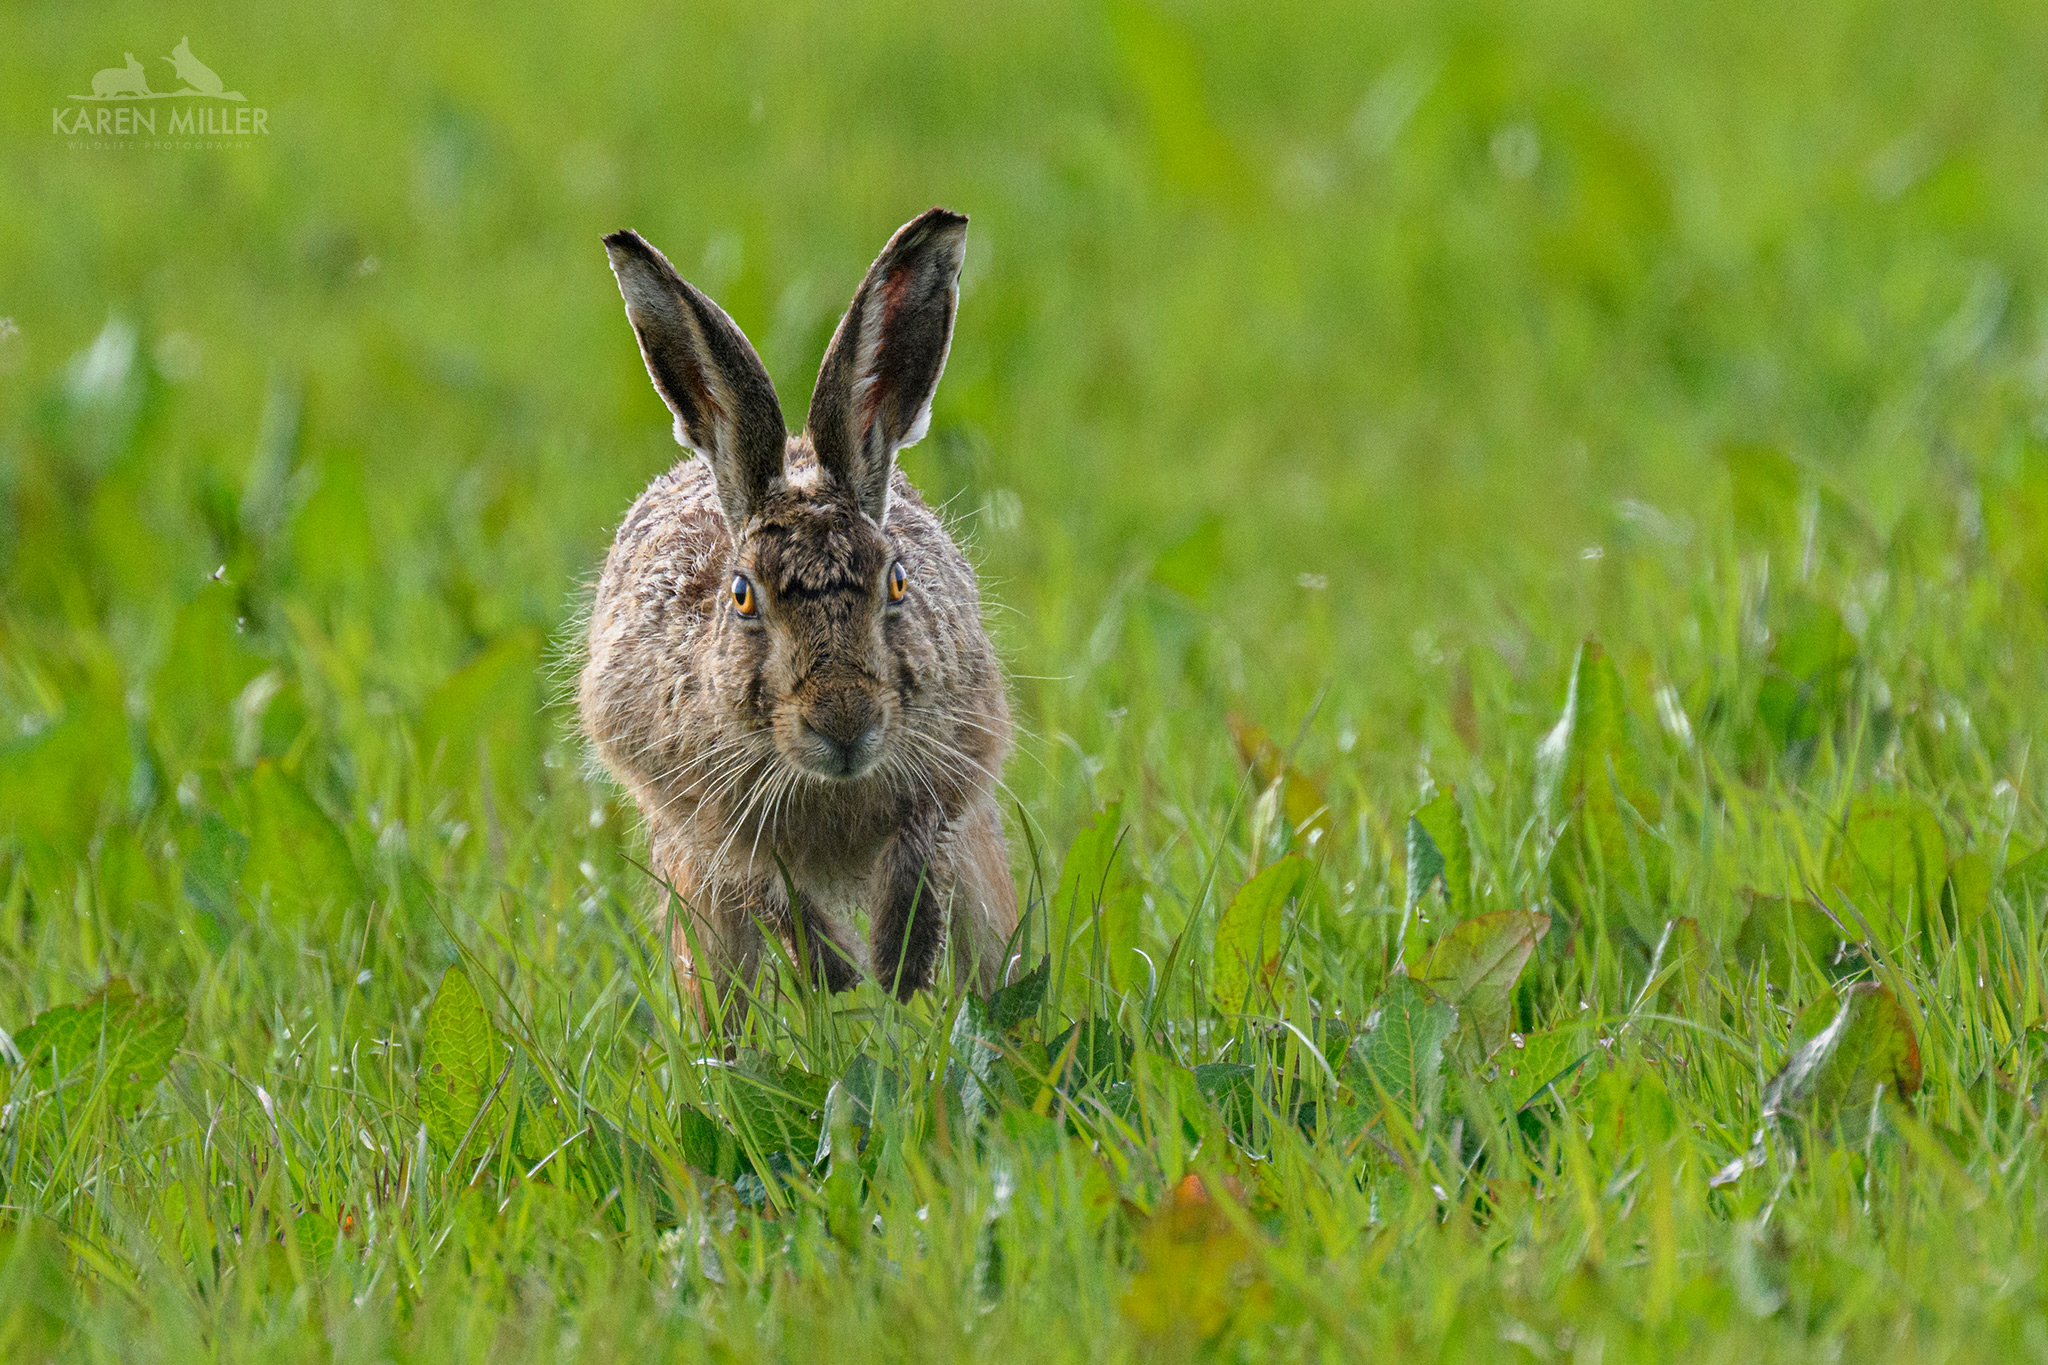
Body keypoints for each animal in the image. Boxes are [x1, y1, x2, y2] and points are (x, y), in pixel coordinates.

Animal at [580, 208, 1016, 1023]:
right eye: (743, 595)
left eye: (898, 582)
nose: (844, 722)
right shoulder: (702, 818)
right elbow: (767, 883)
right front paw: (839, 973)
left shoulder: (954, 763)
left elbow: (922, 841)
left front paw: (898, 965)